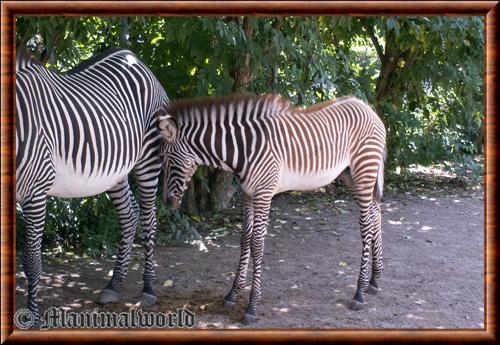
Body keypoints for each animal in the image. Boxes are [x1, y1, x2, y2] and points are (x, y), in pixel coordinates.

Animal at [15, 46, 169, 322]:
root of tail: (133, 57)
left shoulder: (35, 191)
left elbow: (31, 261)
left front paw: (32, 317)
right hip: (116, 172)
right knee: (130, 215)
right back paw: (114, 285)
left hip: (148, 159)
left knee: (149, 218)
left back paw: (148, 289)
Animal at [156, 93, 386, 322]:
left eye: (166, 159)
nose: (167, 202)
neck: (244, 149)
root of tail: (367, 107)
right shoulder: (248, 194)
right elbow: (245, 240)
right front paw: (233, 294)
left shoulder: (264, 194)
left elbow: (257, 244)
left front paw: (251, 306)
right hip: (351, 175)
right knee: (376, 214)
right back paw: (375, 280)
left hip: (363, 171)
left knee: (366, 226)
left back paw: (359, 293)